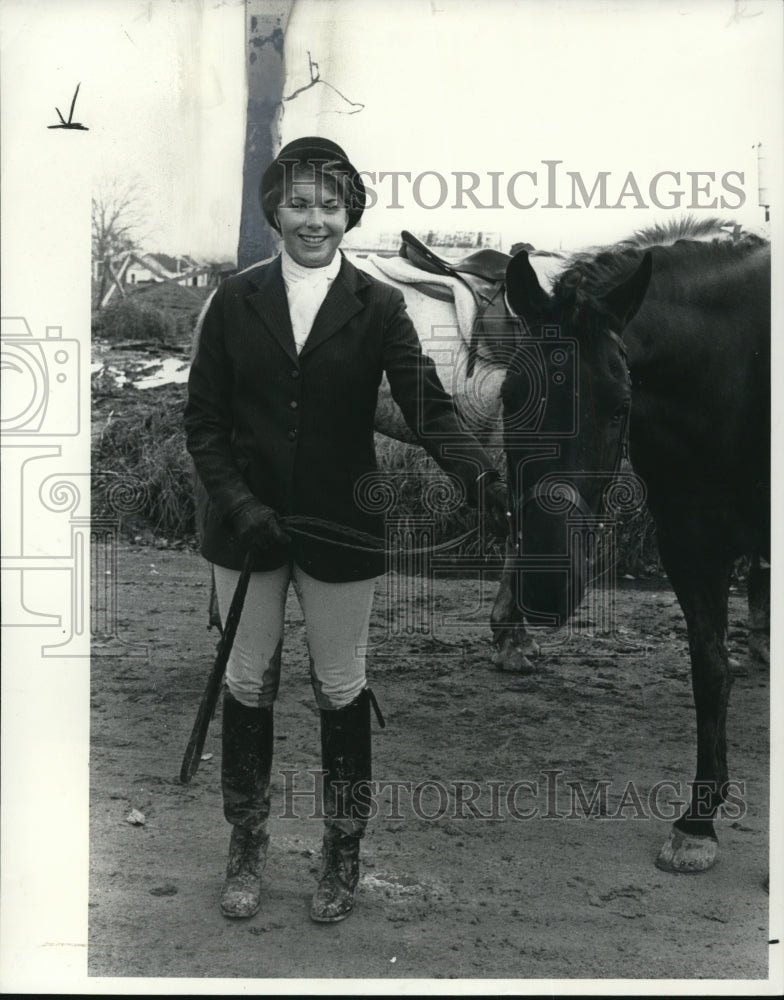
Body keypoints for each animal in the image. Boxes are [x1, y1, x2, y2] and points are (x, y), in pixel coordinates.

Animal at [496, 217, 772, 868]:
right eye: (510, 397)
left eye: (621, 404)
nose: (545, 585)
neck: (740, 371)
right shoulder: (692, 546)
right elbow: (709, 673)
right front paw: (698, 822)